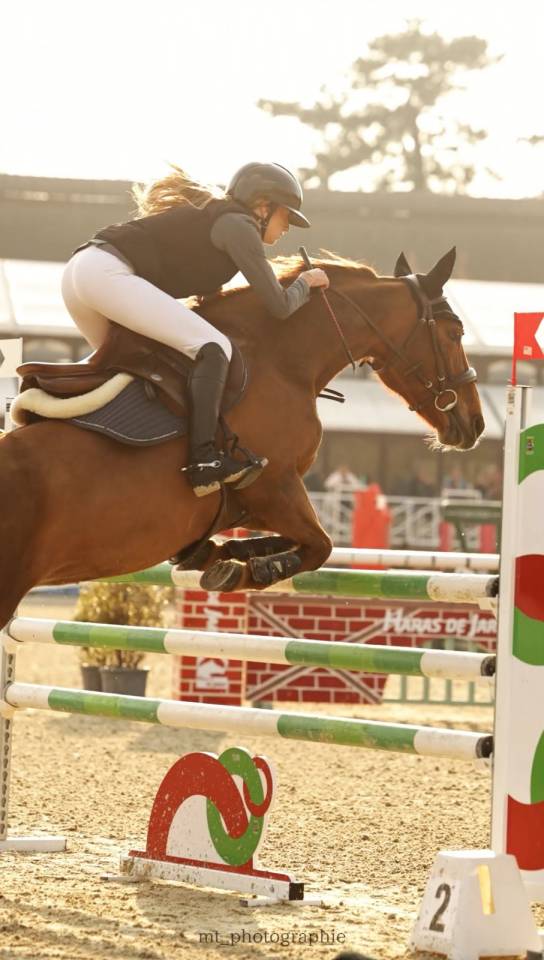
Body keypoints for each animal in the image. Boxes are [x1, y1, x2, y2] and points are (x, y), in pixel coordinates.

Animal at [0, 246, 483, 627]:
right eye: (454, 332)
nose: (475, 423)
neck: (281, 359)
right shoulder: (275, 487)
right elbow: (320, 545)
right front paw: (254, 570)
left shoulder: (250, 505)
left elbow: (281, 542)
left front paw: (222, 556)